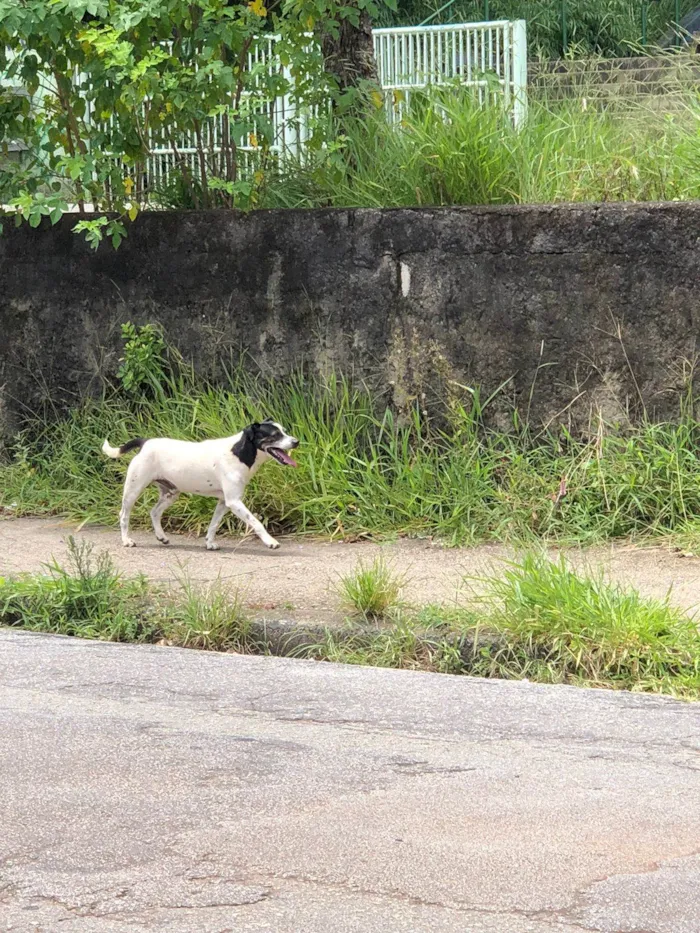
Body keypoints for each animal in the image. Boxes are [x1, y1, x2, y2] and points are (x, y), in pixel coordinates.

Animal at [102, 418, 300, 548]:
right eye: (275, 435)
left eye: (284, 431)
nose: (296, 441)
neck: (238, 452)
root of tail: (145, 442)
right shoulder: (234, 502)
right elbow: (256, 522)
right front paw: (270, 541)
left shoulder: (224, 502)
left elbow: (214, 524)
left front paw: (210, 542)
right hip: (133, 490)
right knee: (123, 515)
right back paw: (126, 540)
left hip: (170, 493)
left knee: (155, 512)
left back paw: (161, 536)